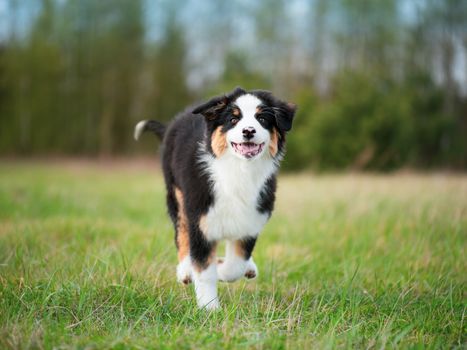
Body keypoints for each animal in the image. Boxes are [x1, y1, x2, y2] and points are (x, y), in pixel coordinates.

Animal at [134, 87, 296, 308]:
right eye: (233, 119)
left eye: (262, 118)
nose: (248, 131)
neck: (239, 170)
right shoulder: (201, 220)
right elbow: (204, 270)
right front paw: (209, 308)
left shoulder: (251, 220)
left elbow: (235, 264)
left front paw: (221, 269)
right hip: (177, 196)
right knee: (181, 233)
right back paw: (185, 270)